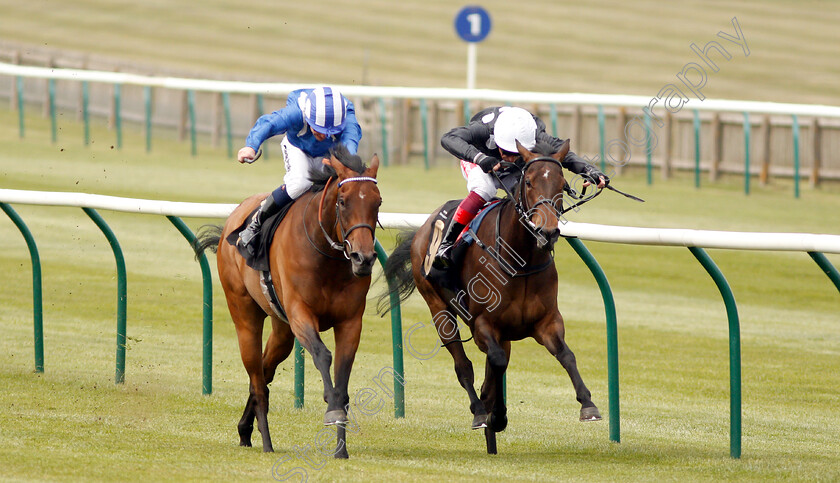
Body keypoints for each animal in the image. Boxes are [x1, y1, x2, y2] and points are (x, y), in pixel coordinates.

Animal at [194, 146, 380, 456]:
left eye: (378, 202)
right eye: (343, 202)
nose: (363, 258)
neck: (326, 256)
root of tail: (235, 216)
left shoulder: (350, 322)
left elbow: (343, 376)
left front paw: (341, 448)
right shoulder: (300, 314)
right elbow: (323, 355)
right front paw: (331, 407)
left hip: (281, 329)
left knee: (265, 370)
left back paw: (245, 429)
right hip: (245, 314)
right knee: (257, 377)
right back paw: (266, 442)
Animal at [382, 139, 604, 454]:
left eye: (562, 183)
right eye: (529, 182)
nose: (547, 231)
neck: (520, 260)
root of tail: (425, 226)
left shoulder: (547, 321)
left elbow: (565, 355)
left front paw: (588, 404)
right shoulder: (483, 325)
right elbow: (494, 364)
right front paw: (495, 416)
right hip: (439, 309)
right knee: (463, 365)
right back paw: (479, 412)